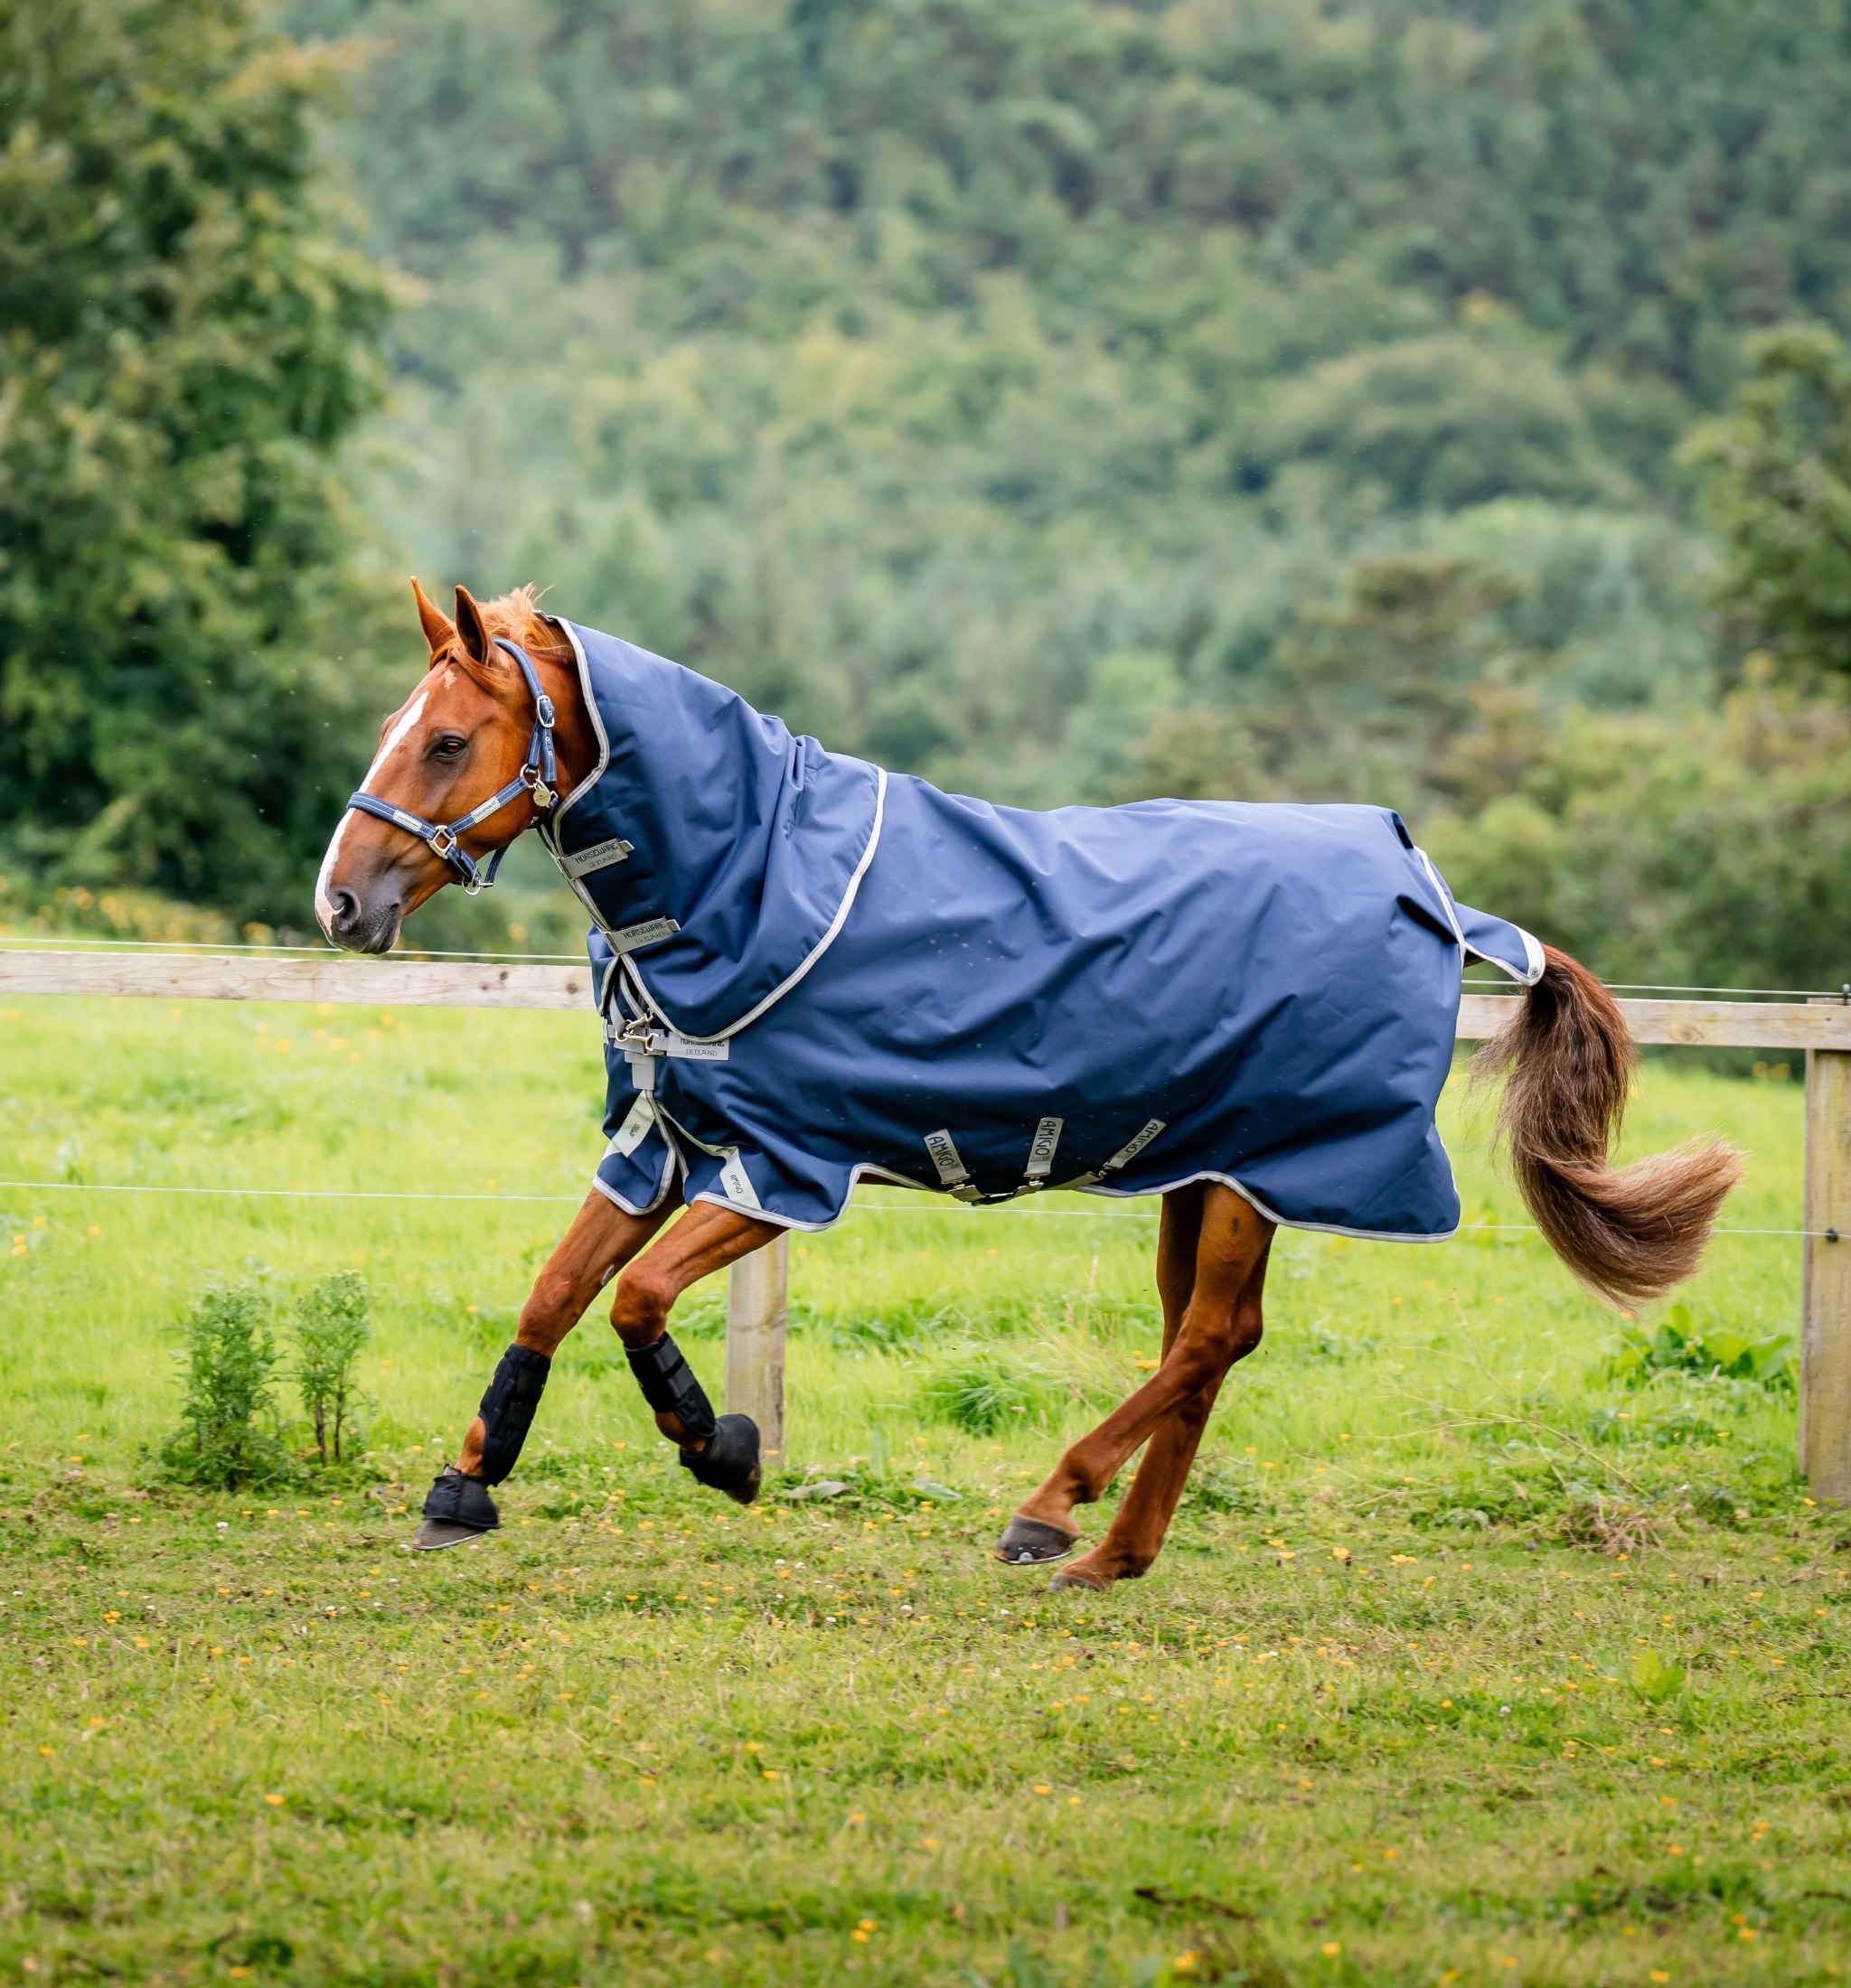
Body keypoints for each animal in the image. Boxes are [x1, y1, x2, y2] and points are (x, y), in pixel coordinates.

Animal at [312, 580, 1742, 1590]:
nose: (342, 902)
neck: (750, 880)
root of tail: (1429, 888)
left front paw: (721, 1449)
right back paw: (1113, 1555)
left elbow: (636, 1301)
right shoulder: (668, 1141)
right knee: (1211, 1340)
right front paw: (465, 1487)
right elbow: (556, 1292)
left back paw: (1051, 1511)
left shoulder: (785, 1167)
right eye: (390, 730)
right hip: (1206, 1166)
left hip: (1263, 1168)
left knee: (1207, 1339)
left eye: (446, 740)